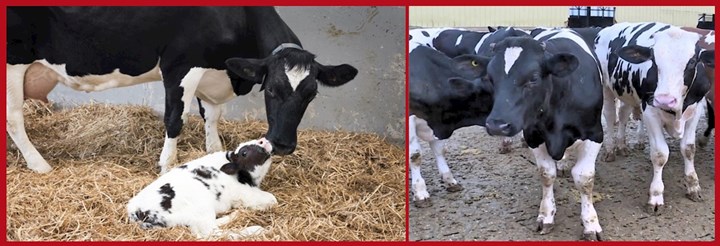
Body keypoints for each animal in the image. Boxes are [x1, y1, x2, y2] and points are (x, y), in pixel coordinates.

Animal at [4, 6, 356, 173]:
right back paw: (39, 165)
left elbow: (212, 118)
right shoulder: (181, 65)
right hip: (13, 61)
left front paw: (214, 152)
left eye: (311, 94)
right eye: (270, 90)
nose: (282, 144)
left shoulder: (213, 73)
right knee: (14, 118)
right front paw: (167, 165)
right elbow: (175, 119)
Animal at [126, 138, 276, 238]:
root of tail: (137, 213)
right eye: (244, 153)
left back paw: (236, 215)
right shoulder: (246, 193)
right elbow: (272, 200)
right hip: (201, 208)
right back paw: (256, 229)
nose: (263, 140)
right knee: (214, 234)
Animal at [480, 28, 604, 240]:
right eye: (490, 78)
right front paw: (546, 215)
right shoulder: (532, 135)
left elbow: (584, 178)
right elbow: (547, 174)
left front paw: (590, 224)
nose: (497, 125)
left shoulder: (594, 133)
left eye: (534, 78)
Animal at [596, 22, 716, 214]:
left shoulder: (696, 110)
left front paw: (693, 185)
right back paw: (610, 149)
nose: (665, 100)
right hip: (606, 87)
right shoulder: (650, 111)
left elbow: (689, 149)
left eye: (692, 62)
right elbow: (660, 154)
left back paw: (622, 145)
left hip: (627, 92)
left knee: (623, 115)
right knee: (609, 116)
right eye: (654, 60)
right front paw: (656, 196)